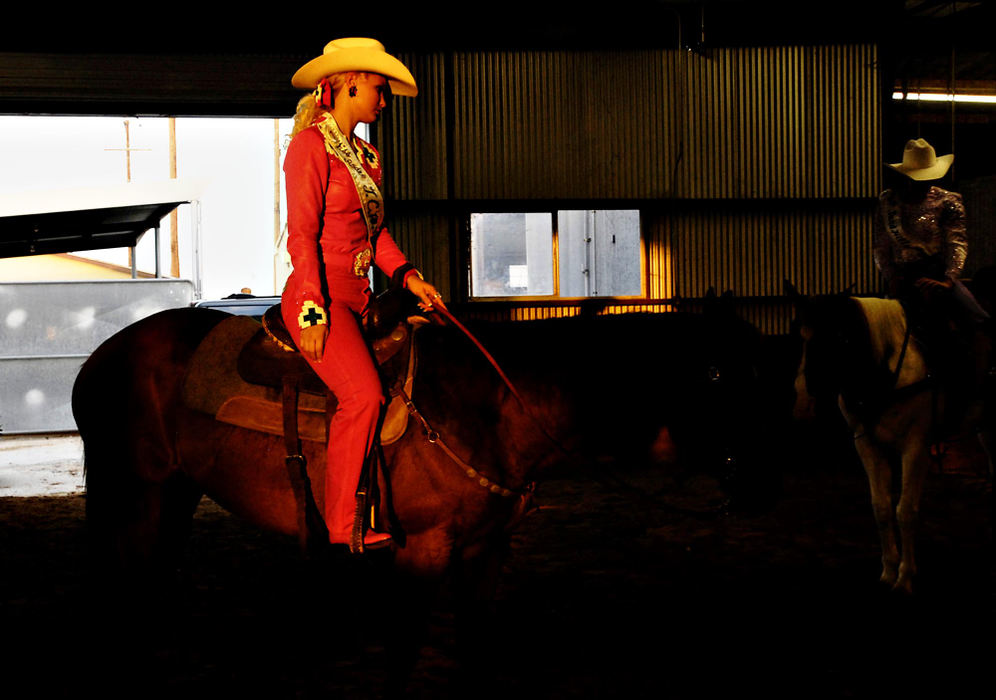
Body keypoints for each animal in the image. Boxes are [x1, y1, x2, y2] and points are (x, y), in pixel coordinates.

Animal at [74, 300, 768, 684]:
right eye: (712, 371)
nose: (759, 477)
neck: (493, 407)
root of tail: (100, 357)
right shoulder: (421, 553)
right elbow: (404, 655)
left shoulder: (488, 550)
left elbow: (476, 649)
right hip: (133, 495)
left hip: (173, 497)